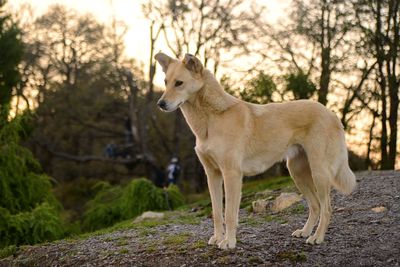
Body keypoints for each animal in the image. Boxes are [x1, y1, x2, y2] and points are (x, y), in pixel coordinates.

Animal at [154, 52, 356, 251]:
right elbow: (217, 212)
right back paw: (305, 232)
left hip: (318, 172)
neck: (212, 117)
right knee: (315, 205)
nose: (160, 104)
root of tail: (331, 113)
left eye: (179, 83)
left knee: (326, 208)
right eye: (166, 82)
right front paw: (218, 237)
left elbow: (229, 214)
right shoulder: (212, 175)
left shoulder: (232, 174)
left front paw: (228, 242)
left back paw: (317, 237)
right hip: (297, 172)